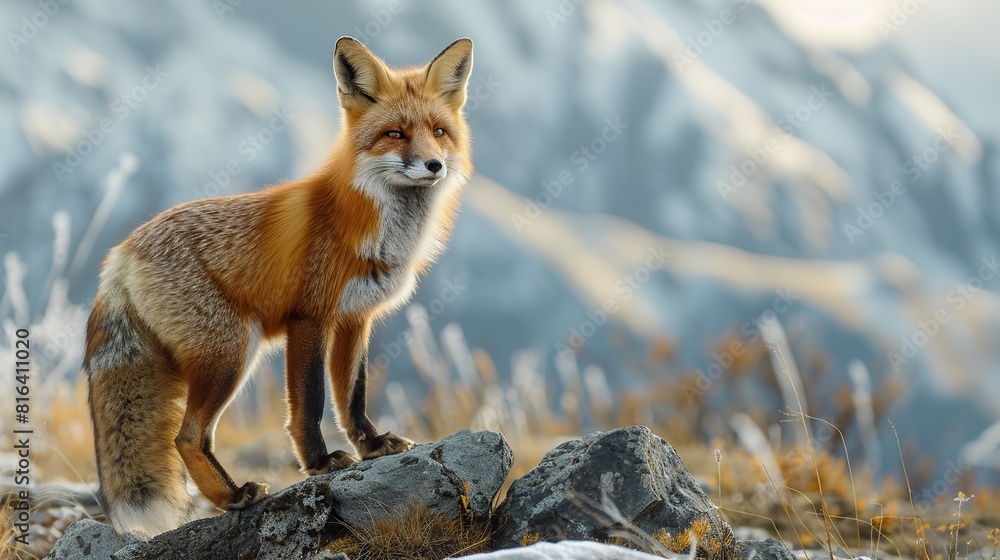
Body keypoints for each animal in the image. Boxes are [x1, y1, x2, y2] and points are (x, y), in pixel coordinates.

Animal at [84, 36, 474, 538]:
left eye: (439, 131)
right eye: (395, 134)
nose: (434, 164)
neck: (371, 225)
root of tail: (119, 255)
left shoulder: (355, 319)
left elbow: (352, 398)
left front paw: (370, 447)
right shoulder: (308, 318)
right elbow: (310, 403)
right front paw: (319, 464)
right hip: (231, 352)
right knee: (187, 436)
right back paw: (232, 497)